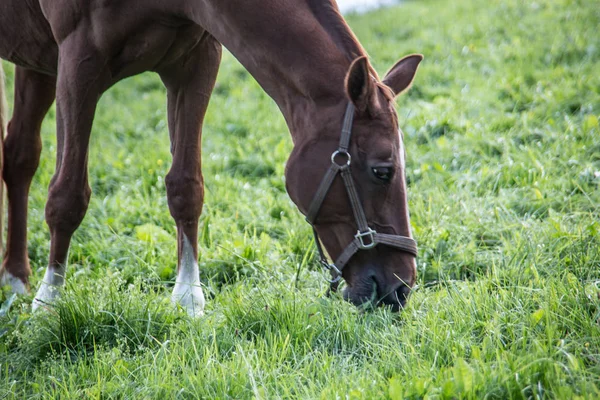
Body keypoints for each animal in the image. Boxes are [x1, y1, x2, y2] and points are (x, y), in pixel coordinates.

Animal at [0, 0, 422, 316]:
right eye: (382, 171)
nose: (400, 287)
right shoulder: (78, 61)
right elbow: (67, 194)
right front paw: (48, 301)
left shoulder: (195, 61)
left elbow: (186, 187)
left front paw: (188, 300)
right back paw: (18, 281)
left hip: (37, 62)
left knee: (20, 155)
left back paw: (14, 278)